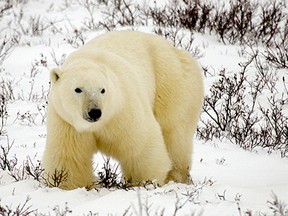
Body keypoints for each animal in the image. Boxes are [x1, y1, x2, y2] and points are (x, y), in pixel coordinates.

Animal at [43, 30, 205, 189]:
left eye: (102, 90)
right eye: (78, 89)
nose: (95, 112)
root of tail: (174, 48)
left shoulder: (122, 110)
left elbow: (142, 147)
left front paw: (145, 183)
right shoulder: (66, 123)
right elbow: (70, 158)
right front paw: (67, 185)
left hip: (171, 82)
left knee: (174, 132)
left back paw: (177, 177)